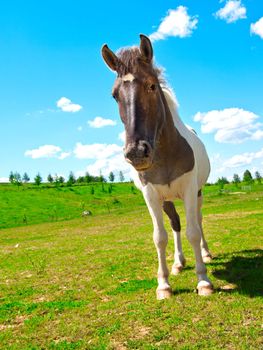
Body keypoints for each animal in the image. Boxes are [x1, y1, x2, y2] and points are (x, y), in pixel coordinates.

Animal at [101, 34, 214, 300]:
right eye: (115, 95)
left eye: (152, 86)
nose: (136, 152)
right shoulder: (151, 195)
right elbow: (159, 237)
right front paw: (163, 285)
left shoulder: (189, 189)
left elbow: (194, 231)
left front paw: (203, 281)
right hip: (167, 200)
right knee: (176, 224)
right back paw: (179, 263)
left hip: (198, 193)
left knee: (198, 221)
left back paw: (205, 254)